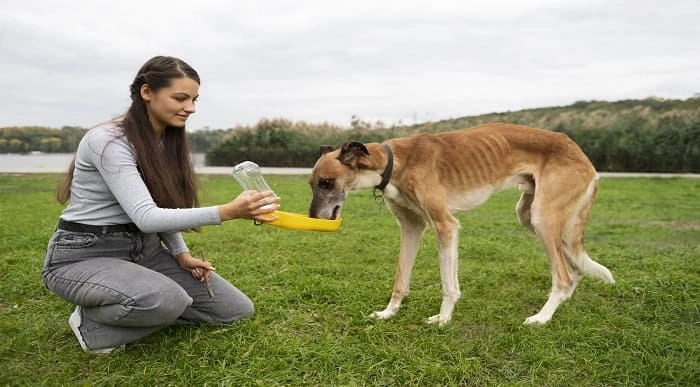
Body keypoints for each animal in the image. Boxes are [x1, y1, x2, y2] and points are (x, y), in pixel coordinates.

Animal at [308, 123, 616, 326]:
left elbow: (449, 285)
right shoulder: (411, 227)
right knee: (575, 266)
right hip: (529, 216)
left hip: (544, 217)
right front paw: (388, 313)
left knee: (562, 277)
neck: (394, 163)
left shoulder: (445, 226)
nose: (313, 218)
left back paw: (541, 318)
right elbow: (400, 280)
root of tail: (582, 156)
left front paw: (443, 319)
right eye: (312, 184)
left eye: (327, 182)